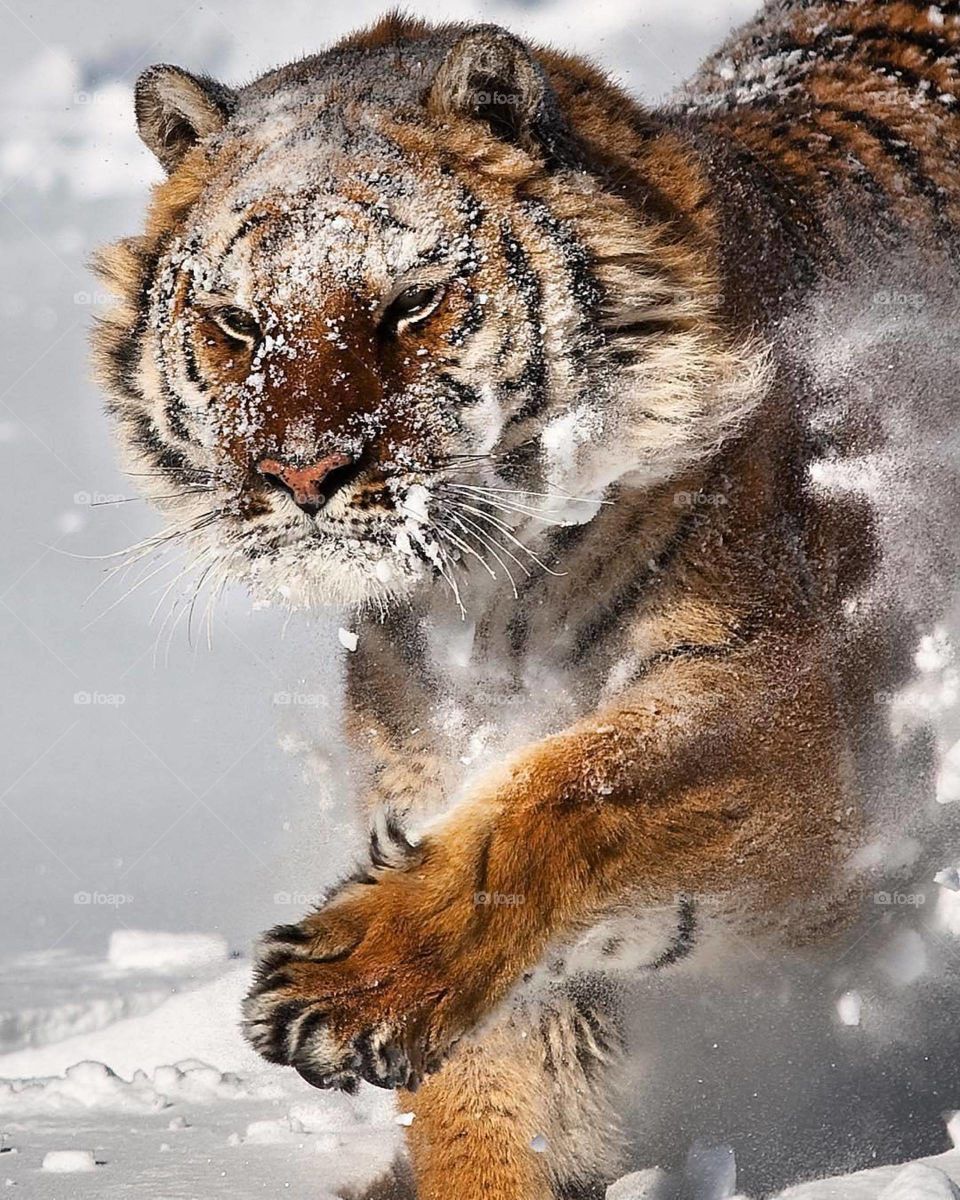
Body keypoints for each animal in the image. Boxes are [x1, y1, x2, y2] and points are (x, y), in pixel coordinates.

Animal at [92, 3, 960, 1197]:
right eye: (236, 324)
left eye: (410, 305)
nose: (303, 475)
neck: (487, 601)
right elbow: (493, 1103)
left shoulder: (799, 739)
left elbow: (567, 795)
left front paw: (346, 983)